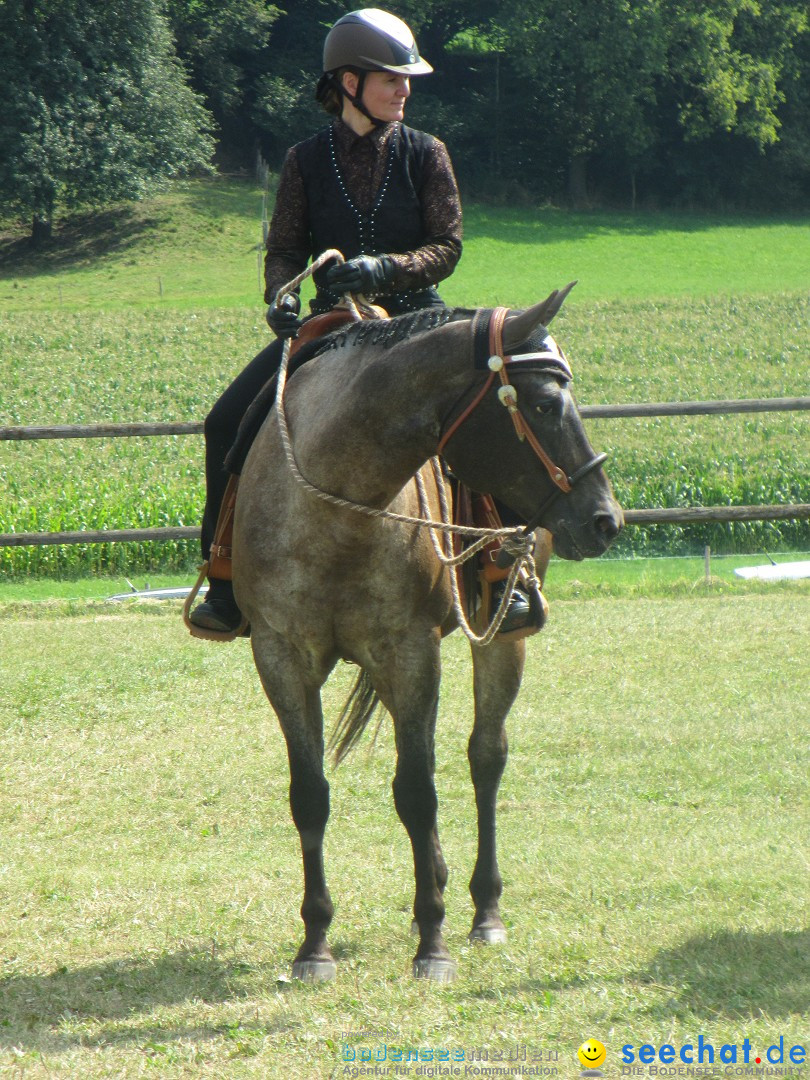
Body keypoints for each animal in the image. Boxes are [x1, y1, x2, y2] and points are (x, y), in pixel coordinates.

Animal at [231, 291, 626, 984]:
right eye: (544, 404)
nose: (606, 520)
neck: (336, 507)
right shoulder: (281, 656)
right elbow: (310, 794)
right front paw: (314, 946)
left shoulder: (411, 651)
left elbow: (417, 791)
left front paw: (434, 945)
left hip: (501, 638)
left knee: (485, 756)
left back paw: (483, 911)